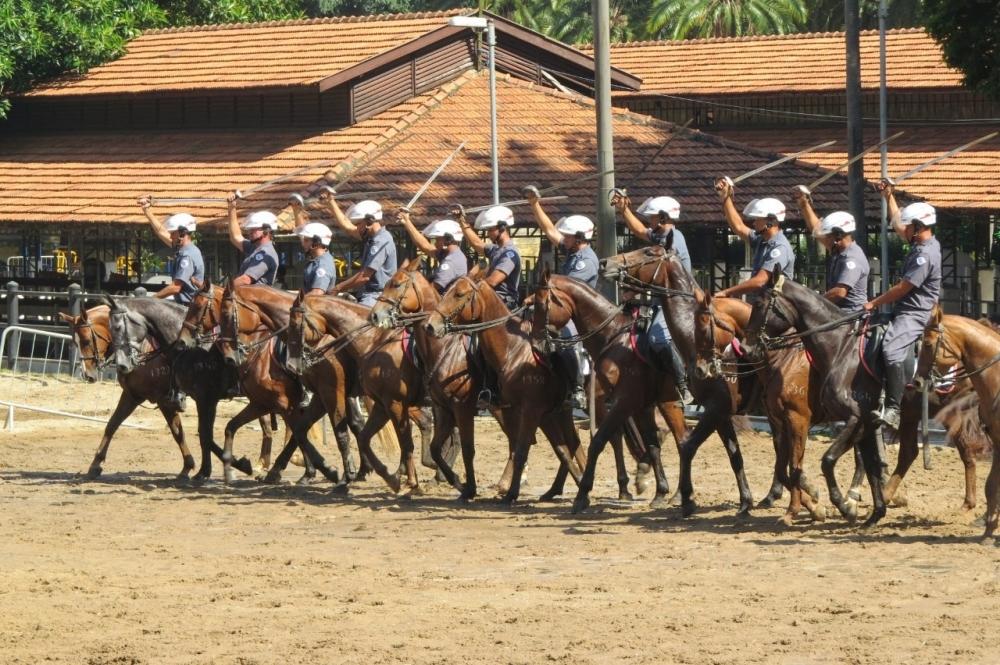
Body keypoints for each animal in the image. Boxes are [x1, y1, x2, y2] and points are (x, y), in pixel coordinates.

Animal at [424, 274, 584, 504]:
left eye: (459, 294)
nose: (430, 326)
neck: (512, 350)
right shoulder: (453, 410)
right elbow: (437, 448)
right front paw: (461, 484)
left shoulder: (469, 409)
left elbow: (511, 449)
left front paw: (497, 492)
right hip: (553, 413)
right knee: (567, 445)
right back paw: (559, 488)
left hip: (556, 412)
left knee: (569, 444)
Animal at [532, 272, 688, 510]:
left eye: (540, 304)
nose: (537, 346)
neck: (613, 334)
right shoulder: (641, 405)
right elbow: (650, 443)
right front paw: (658, 490)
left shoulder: (624, 401)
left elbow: (598, 441)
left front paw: (583, 494)